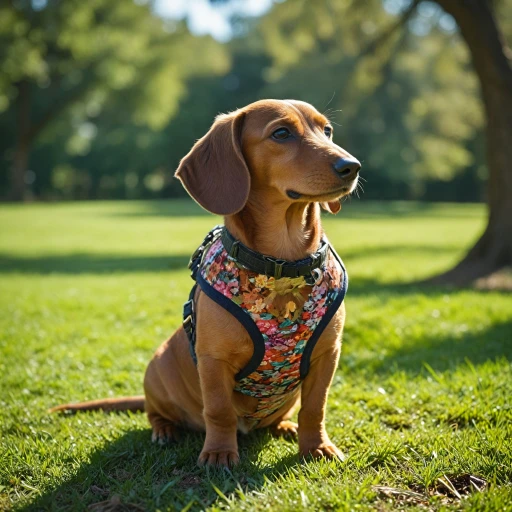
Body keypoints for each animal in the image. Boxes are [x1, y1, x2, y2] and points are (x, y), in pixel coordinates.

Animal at [53, 98, 360, 466]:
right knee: (157, 414)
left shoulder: (328, 354)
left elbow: (315, 407)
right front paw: (219, 453)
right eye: (281, 133)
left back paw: (285, 426)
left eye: (326, 130)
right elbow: (219, 411)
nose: (352, 166)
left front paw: (316, 446)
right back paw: (165, 431)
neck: (281, 267)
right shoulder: (213, 363)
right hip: (156, 371)